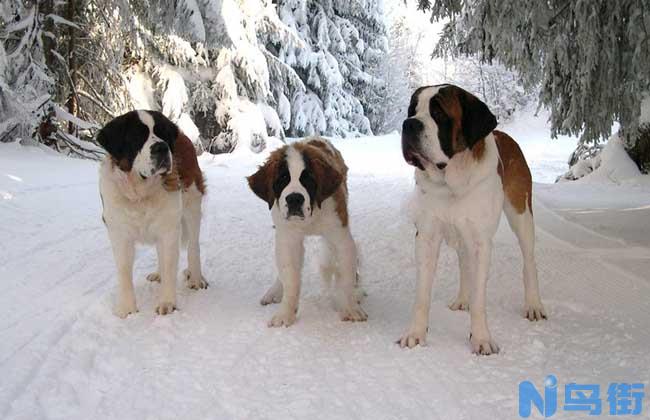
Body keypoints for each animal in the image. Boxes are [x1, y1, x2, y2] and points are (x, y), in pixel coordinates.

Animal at [96, 110, 206, 316]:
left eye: (162, 133)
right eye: (137, 136)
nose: (162, 147)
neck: (140, 194)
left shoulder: (169, 229)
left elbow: (170, 264)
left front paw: (167, 303)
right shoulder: (119, 233)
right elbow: (124, 269)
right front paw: (127, 309)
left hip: (192, 205)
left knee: (193, 247)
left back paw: (196, 278)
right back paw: (158, 274)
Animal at [247, 139, 368, 328]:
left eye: (308, 179)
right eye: (282, 179)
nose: (294, 199)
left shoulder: (340, 236)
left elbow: (346, 275)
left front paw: (350, 308)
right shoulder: (288, 239)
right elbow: (291, 278)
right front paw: (286, 313)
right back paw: (275, 290)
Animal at [398, 84, 544, 354]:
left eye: (438, 113)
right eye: (412, 110)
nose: (409, 124)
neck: (451, 182)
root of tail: (504, 135)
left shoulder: (481, 242)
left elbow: (480, 297)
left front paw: (481, 339)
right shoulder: (426, 237)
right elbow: (422, 294)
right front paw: (415, 334)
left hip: (521, 215)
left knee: (528, 260)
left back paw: (534, 305)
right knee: (464, 263)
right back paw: (462, 299)